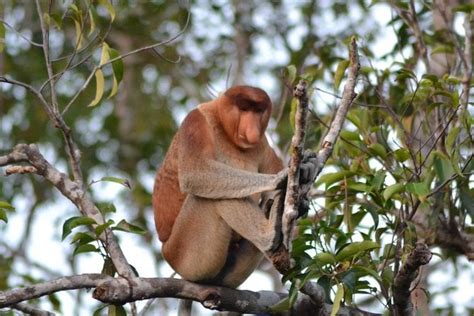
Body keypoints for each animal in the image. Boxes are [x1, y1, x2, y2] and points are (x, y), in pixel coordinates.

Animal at [153, 86, 312, 286]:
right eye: (244, 109)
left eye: (258, 111)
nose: (252, 130)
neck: (223, 128)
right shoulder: (195, 122)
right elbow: (194, 173)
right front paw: (280, 178)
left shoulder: (262, 144)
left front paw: (308, 168)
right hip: (183, 254)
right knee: (210, 196)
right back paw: (270, 233)